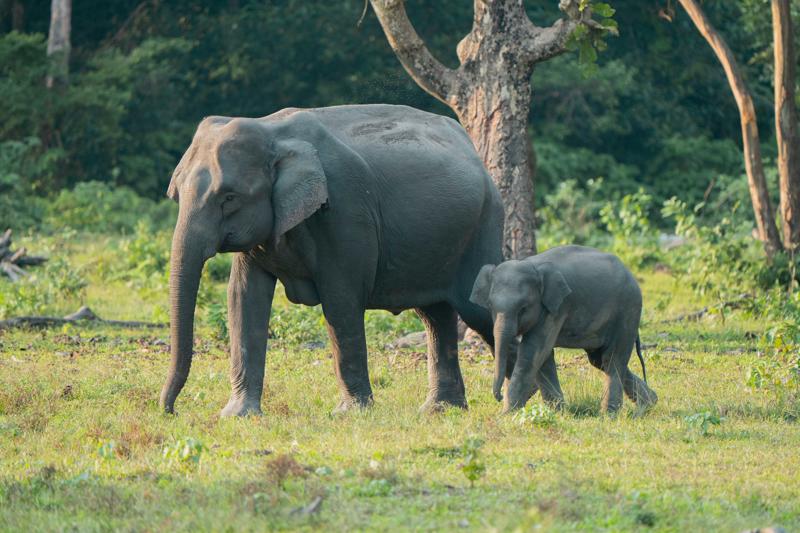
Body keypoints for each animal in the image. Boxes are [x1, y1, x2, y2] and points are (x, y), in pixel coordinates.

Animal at [159, 104, 505, 417]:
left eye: (229, 198)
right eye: (177, 193)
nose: (171, 411)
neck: (272, 131)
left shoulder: (345, 210)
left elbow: (341, 301)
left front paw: (349, 413)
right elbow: (243, 299)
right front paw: (238, 415)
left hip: (483, 228)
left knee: (478, 309)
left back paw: (512, 407)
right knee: (436, 316)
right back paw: (440, 410)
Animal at [469, 245, 658, 414]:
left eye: (523, 308)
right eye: (490, 306)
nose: (499, 397)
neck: (532, 264)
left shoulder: (557, 308)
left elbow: (533, 351)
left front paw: (508, 415)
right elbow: (543, 356)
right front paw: (557, 412)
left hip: (627, 311)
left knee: (613, 360)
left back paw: (610, 415)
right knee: (600, 360)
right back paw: (649, 403)